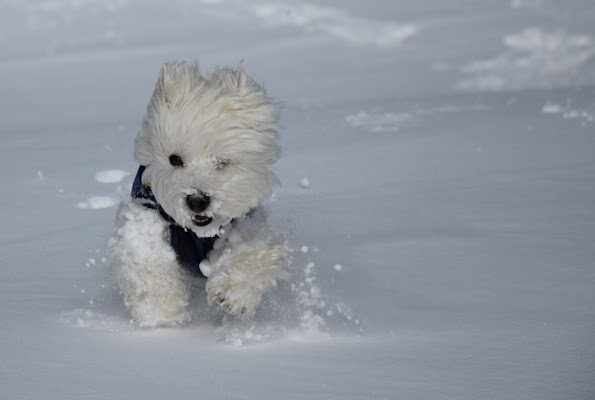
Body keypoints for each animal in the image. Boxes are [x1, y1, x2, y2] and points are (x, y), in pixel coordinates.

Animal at [111, 61, 292, 326]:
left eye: (223, 162)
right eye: (175, 159)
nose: (197, 201)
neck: (198, 233)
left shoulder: (245, 223)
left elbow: (250, 253)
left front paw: (233, 291)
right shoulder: (145, 215)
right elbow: (146, 257)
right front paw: (159, 311)